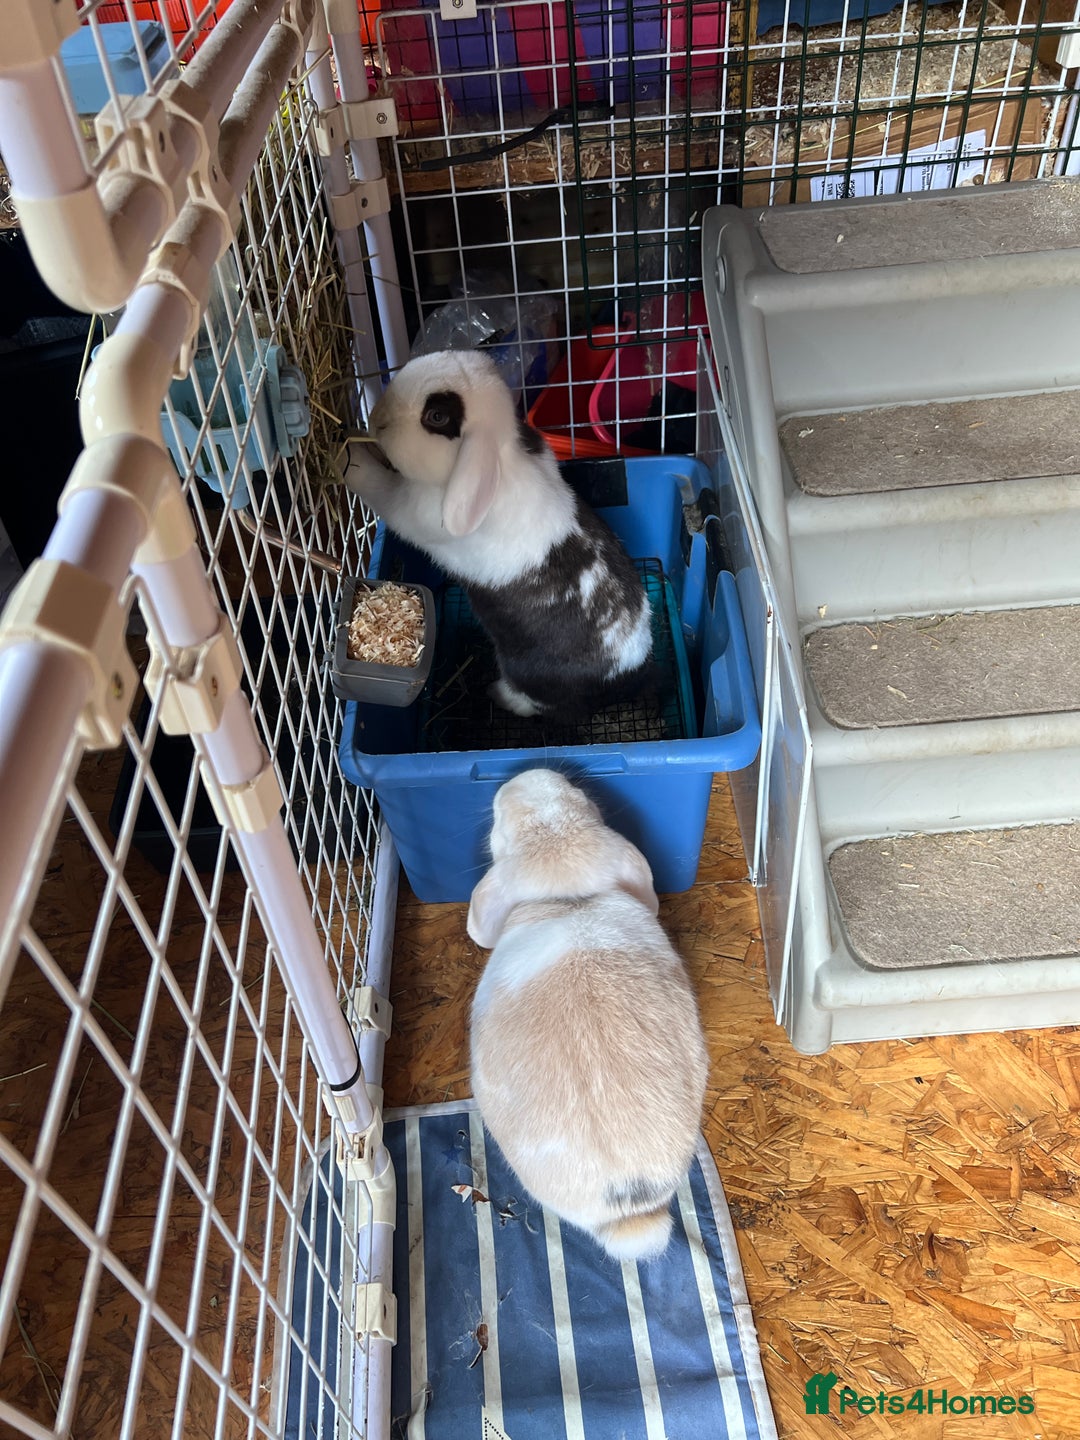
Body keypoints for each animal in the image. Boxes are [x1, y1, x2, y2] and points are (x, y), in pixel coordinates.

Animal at [342, 350, 653, 718]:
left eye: (436, 416)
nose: (377, 418)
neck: (501, 460)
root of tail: (628, 676)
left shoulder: (410, 508)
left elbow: (378, 486)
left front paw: (347, 457)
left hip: (530, 676)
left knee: (537, 704)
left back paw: (498, 694)